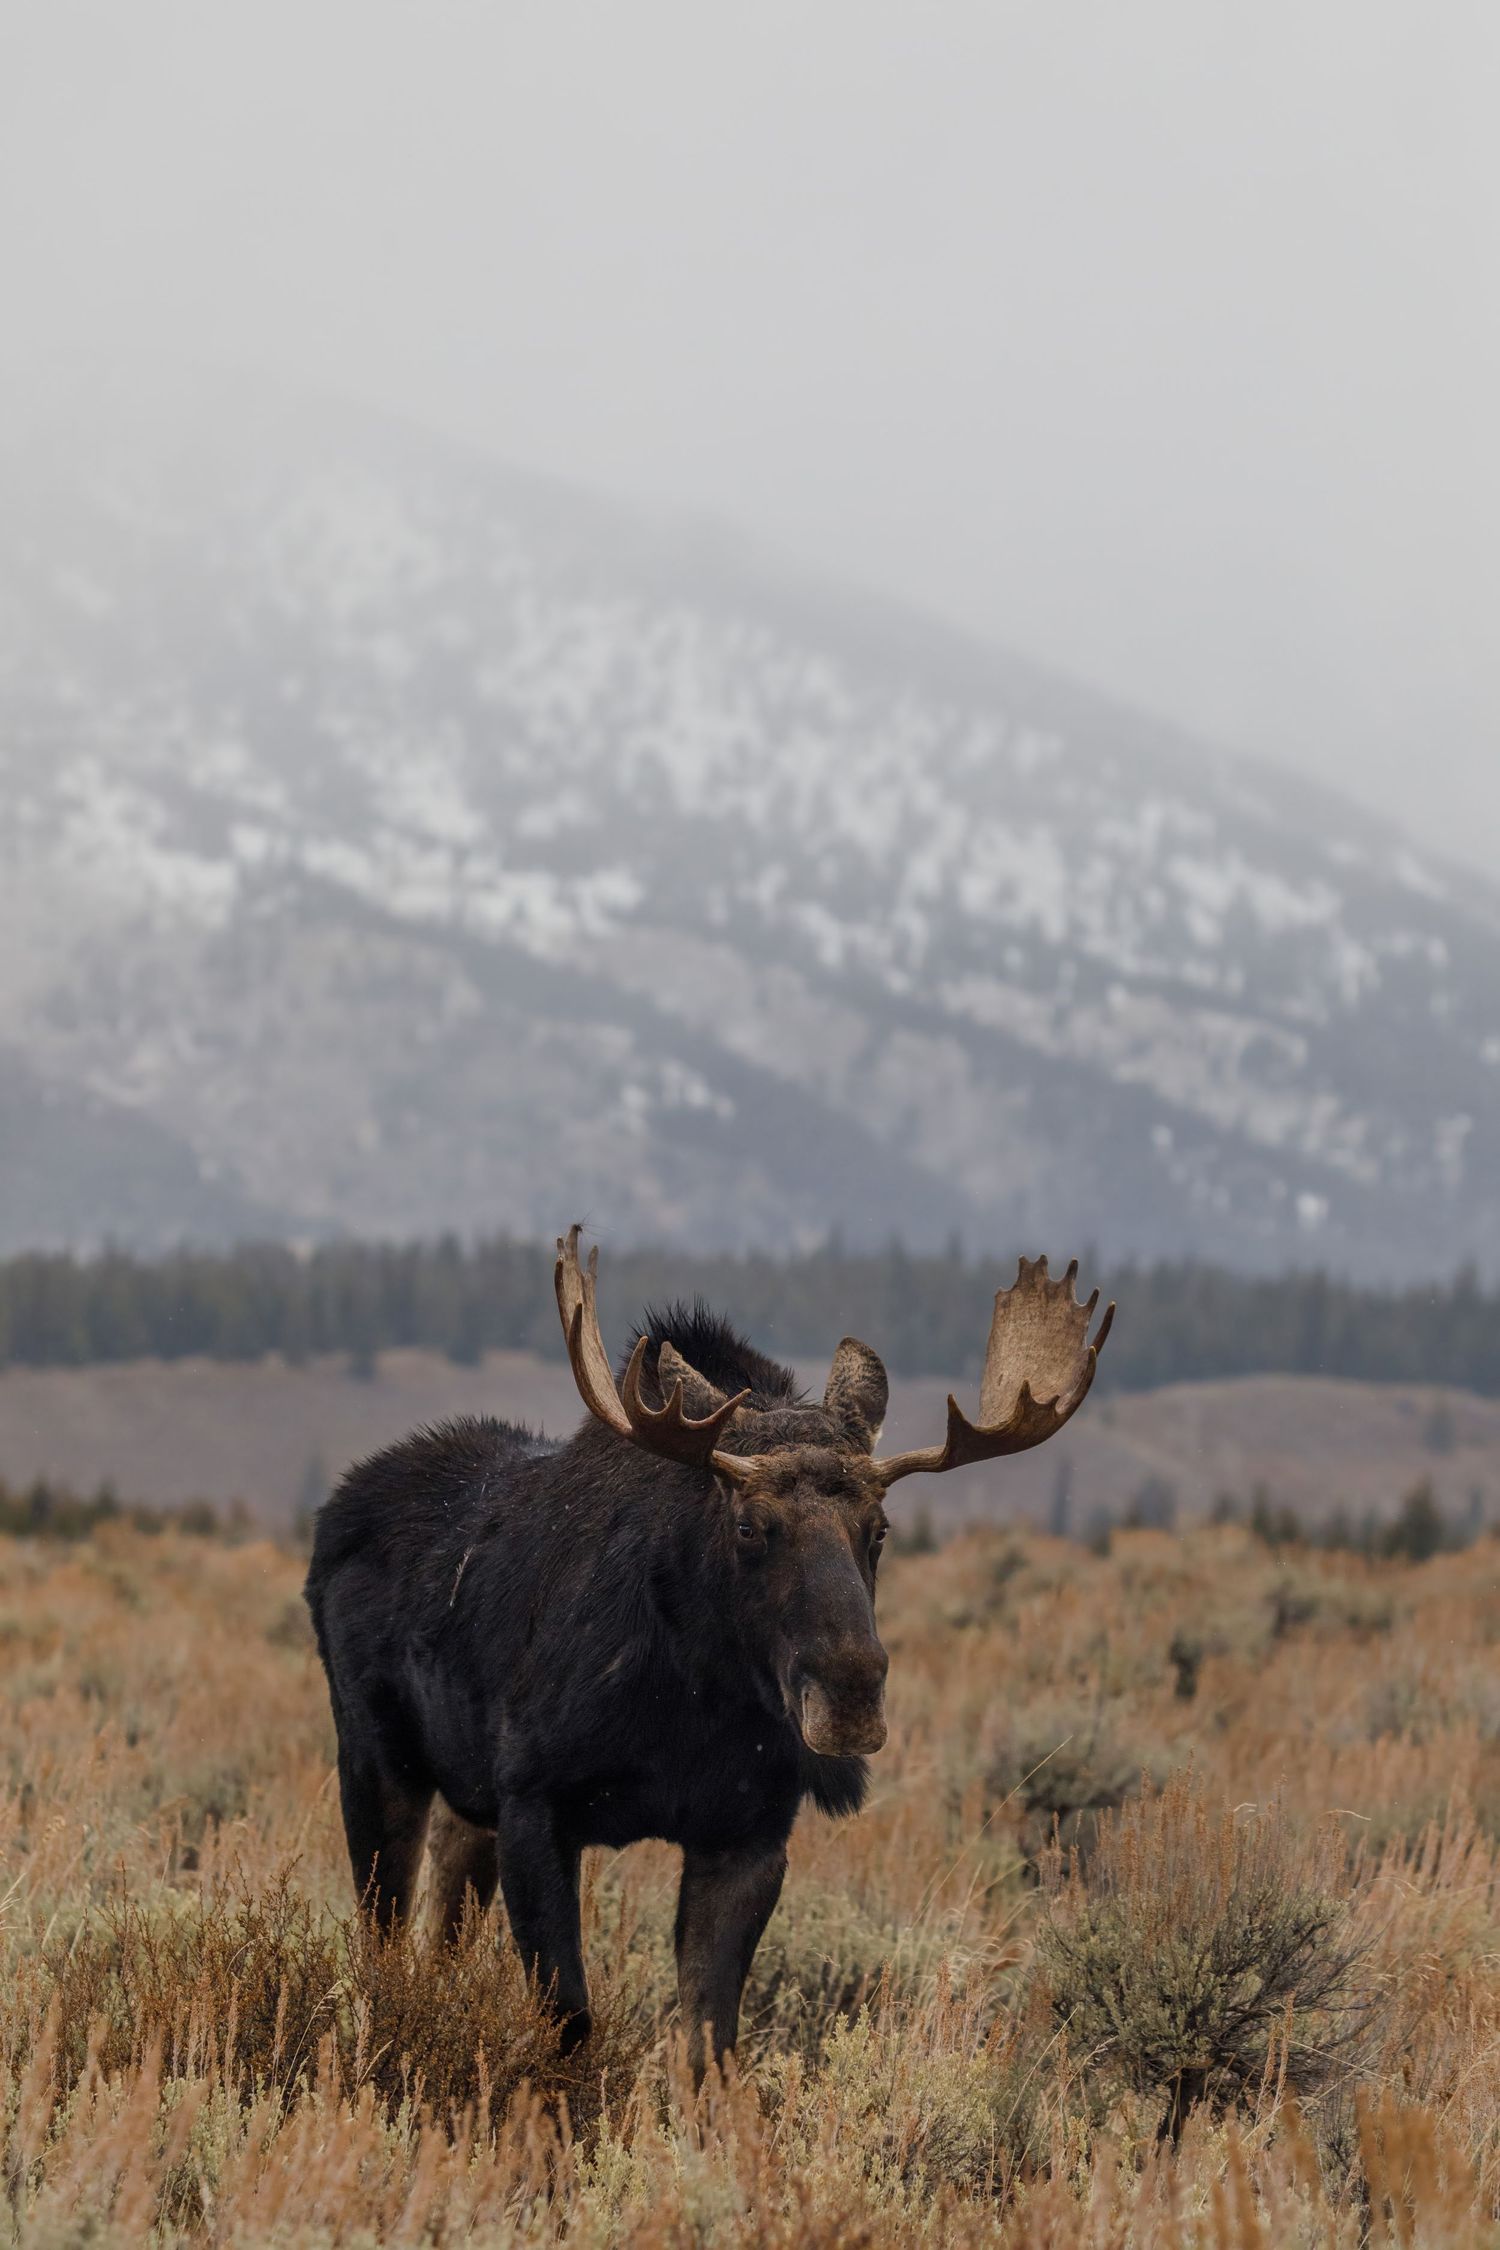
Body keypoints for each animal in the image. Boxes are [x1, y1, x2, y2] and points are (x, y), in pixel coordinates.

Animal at [305, 1225, 1113, 2079]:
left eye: (880, 1530)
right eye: (750, 1525)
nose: (850, 1697)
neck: (694, 1698)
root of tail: (333, 1515)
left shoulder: (745, 1835)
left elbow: (708, 2045)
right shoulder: (536, 1808)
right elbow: (569, 2022)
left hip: (466, 1800)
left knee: (438, 1929)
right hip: (377, 1760)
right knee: (382, 1944)